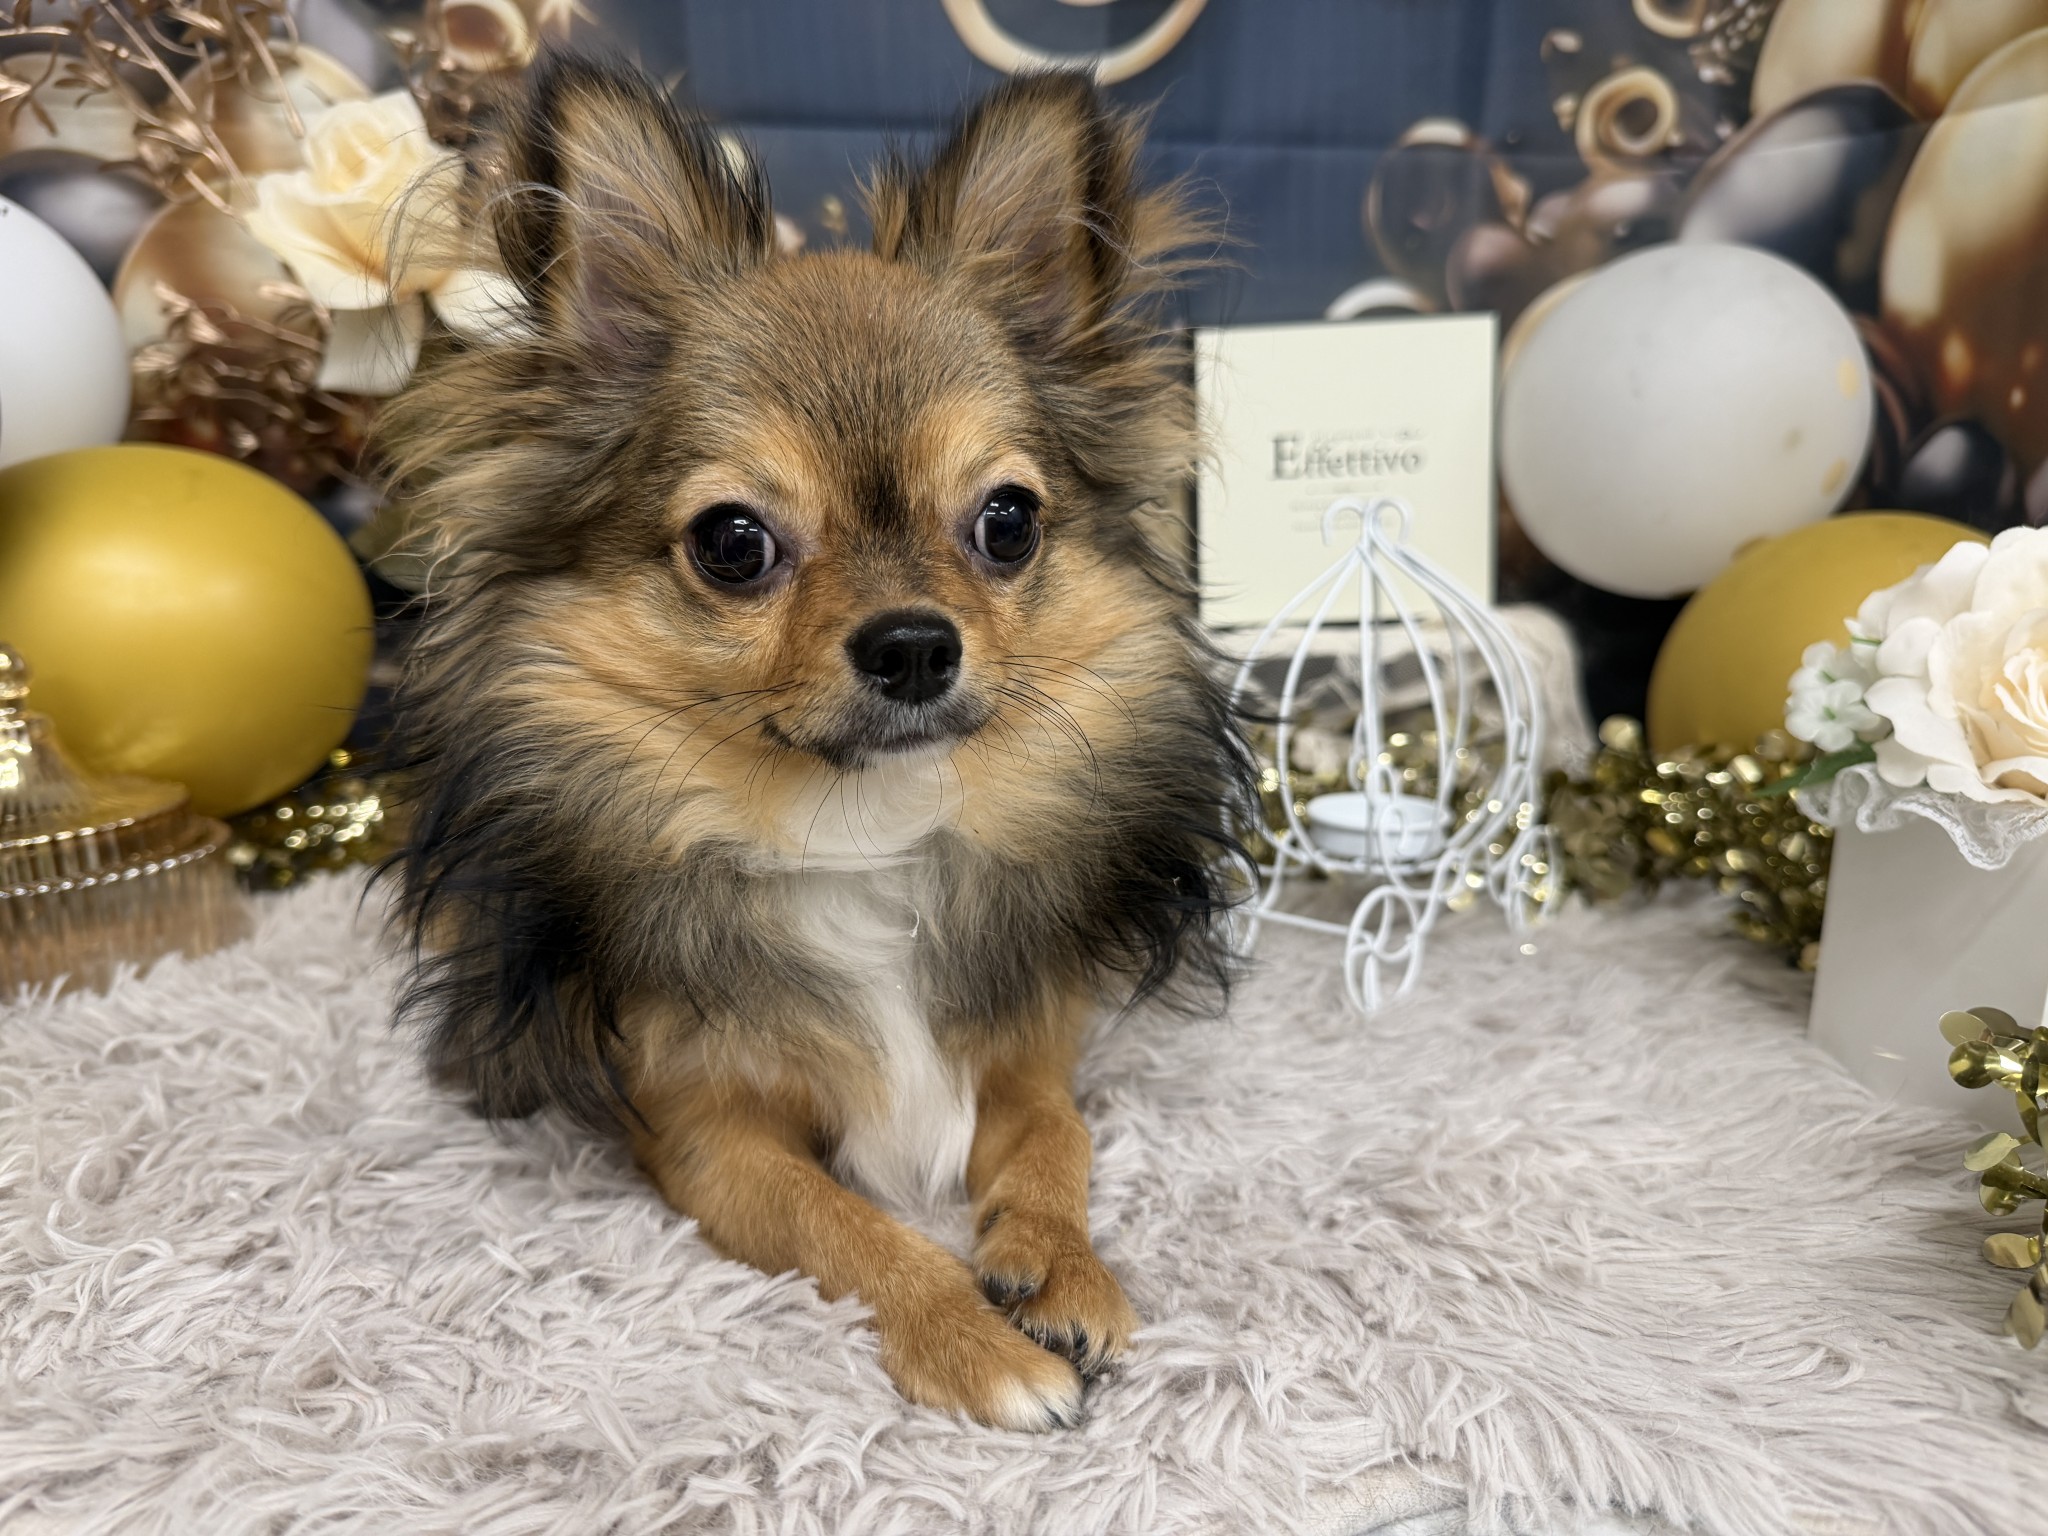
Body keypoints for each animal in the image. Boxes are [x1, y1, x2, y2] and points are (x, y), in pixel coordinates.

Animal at [381, 55, 1252, 1430]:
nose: (913, 645)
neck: (861, 831)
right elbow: (854, 1229)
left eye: (1008, 521)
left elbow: (1054, 1141)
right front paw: (973, 1342)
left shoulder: (1024, 1052)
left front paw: (1059, 1269)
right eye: (733, 542)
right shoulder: (708, 1136)